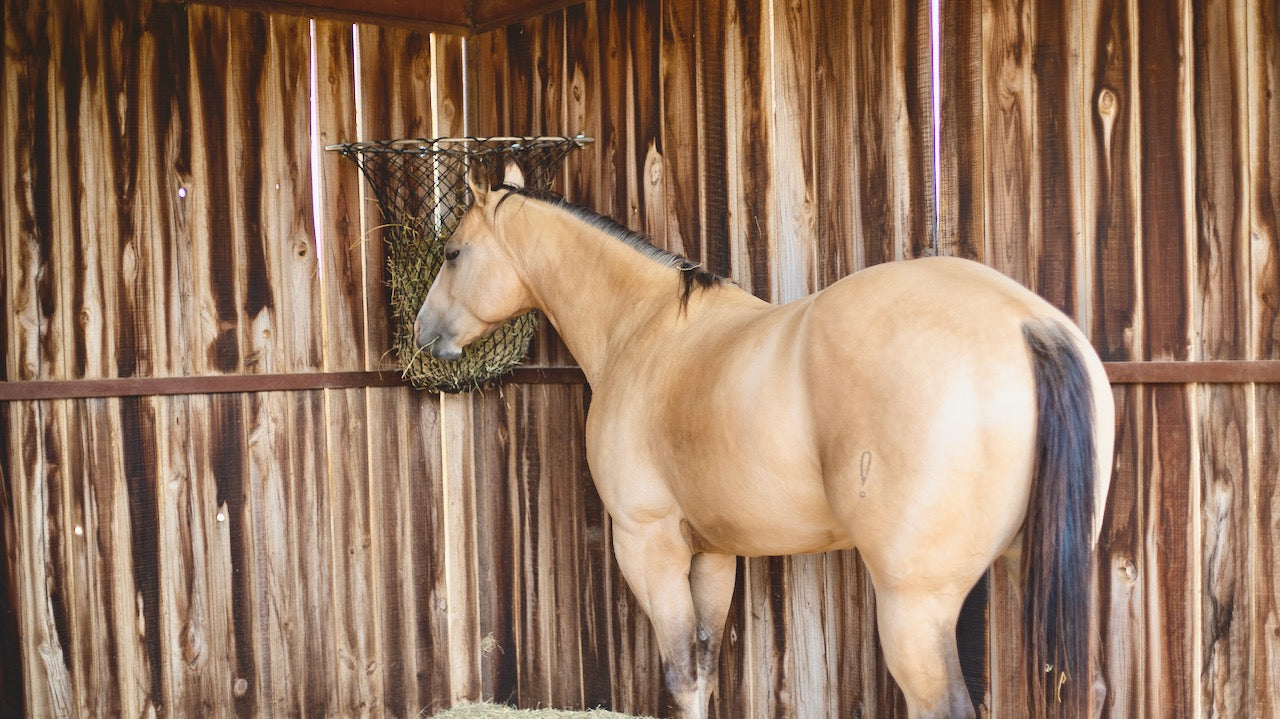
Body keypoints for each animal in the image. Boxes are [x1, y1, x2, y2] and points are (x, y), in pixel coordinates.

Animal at [414, 162, 1116, 716]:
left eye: (452, 253)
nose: (423, 333)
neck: (645, 329)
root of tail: (1027, 323)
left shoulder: (648, 544)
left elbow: (680, 675)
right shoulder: (713, 553)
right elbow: (702, 672)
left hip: (915, 606)